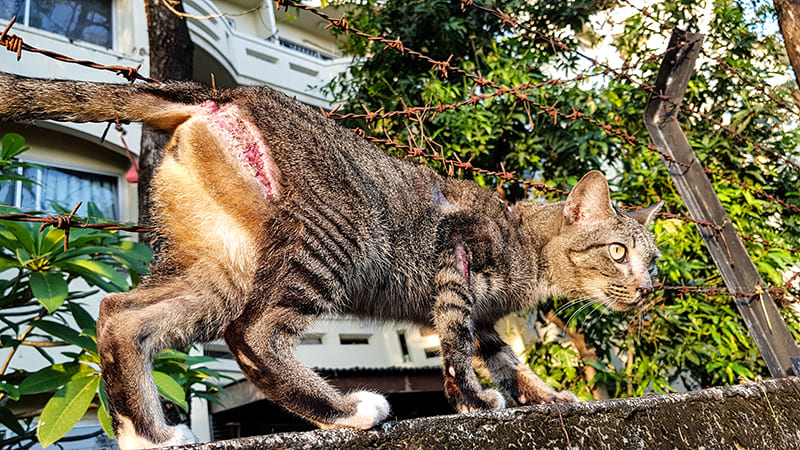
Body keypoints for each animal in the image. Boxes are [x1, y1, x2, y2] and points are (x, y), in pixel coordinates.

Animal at [0, 72, 664, 448]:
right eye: (619, 252)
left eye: (654, 262)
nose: (649, 289)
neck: (526, 244)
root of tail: (221, 94)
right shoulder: (455, 257)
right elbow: (458, 343)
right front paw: (473, 403)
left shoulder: (486, 315)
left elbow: (504, 357)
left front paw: (549, 398)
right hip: (334, 240)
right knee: (254, 335)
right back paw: (348, 412)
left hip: (220, 265)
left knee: (123, 315)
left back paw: (149, 435)